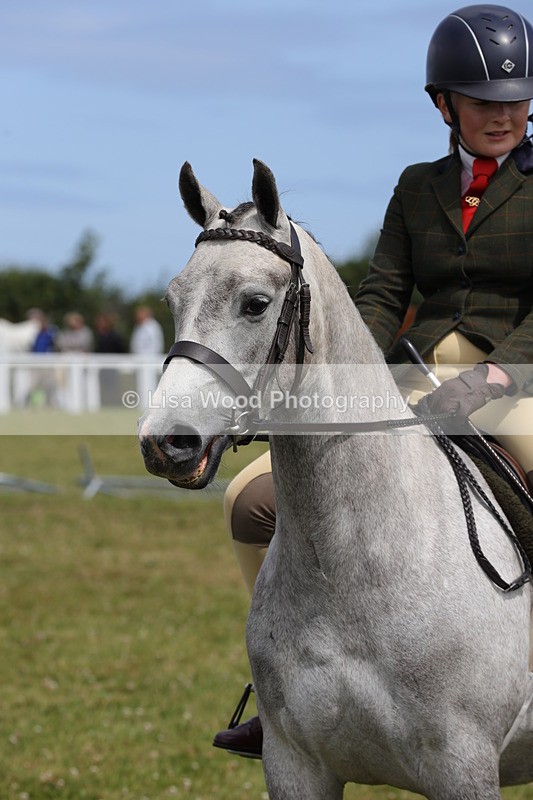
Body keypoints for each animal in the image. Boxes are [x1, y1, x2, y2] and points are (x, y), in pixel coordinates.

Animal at [138, 159, 533, 799]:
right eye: (173, 299)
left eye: (255, 303)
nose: (164, 444)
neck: (356, 558)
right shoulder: (295, 764)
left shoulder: (463, 767)